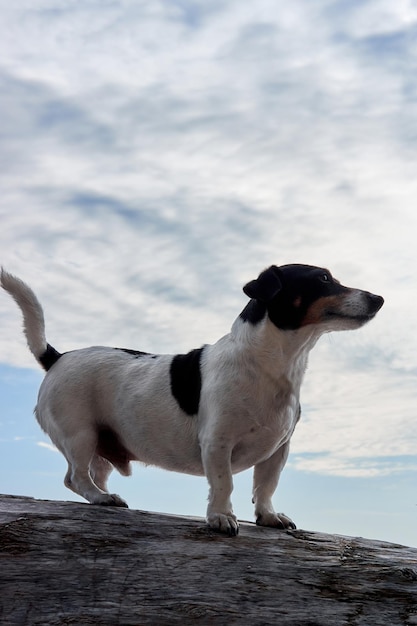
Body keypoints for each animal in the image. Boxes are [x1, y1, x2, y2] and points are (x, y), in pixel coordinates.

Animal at [0, 264, 384, 532]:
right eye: (323, 278)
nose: (379, 298)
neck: (271, 365)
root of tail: (57, 357)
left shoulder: (278, 450)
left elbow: (266, 486)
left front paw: (268, 517)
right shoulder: (217, 443)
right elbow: (224, 483)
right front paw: (221, 518)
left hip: (102, 443)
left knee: (93, 473)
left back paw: (104, 496)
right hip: (79, 434)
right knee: (75, 477)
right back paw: (101, 498)